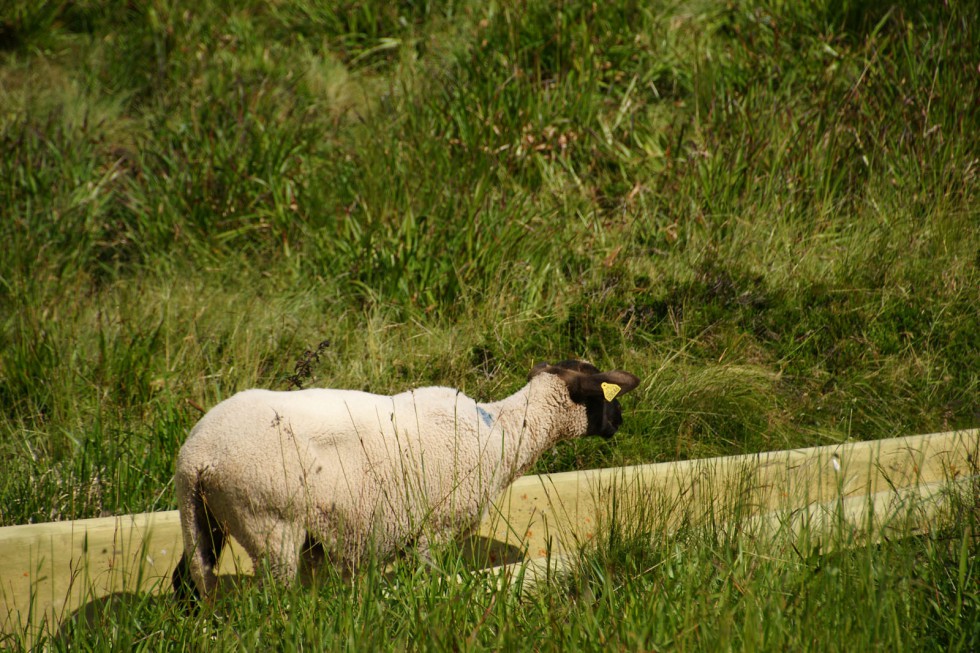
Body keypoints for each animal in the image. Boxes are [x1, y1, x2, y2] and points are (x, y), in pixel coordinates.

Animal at [172, 360, 640, 600]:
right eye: (603, 395)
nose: (619, 421)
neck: (500, 432)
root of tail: (196, 457)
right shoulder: (437, 527)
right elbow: (432, 578)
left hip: (204, 517)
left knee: (194, 579)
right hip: (269, 520)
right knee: (274, 596)